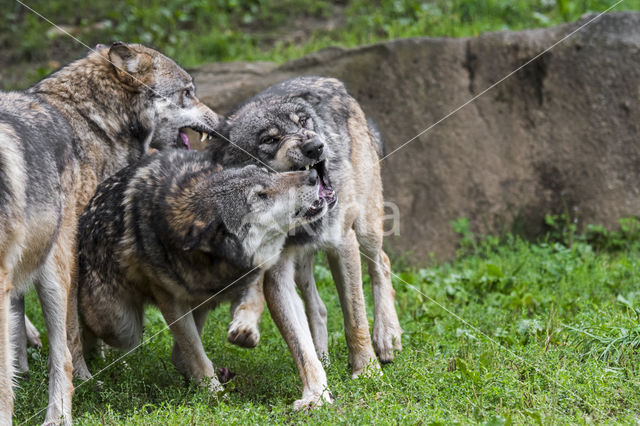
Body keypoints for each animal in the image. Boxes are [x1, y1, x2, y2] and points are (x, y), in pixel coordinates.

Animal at [0, 41, 220, 424]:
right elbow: (70, 331)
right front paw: (86, 376)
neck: (97, 123)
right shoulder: (70, 247)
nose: (220, 122)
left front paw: (24, 370)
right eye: (187, 92)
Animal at [72, 148, 328, 394]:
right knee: (95, 331)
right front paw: (213, 393)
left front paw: (245, 329)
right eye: (259, 196)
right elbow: (194, 352)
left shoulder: (253, 276)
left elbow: (253, 303)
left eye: (267, 173)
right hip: (123, 326)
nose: (313, 176)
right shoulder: (170, 300)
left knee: (177, 353)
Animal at [210, 75, 400, 410]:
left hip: (366, 229)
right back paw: (324, 357)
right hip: (302, 265)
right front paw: (315, 393)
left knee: (382, 264)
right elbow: (299, 344)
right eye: (270, 139)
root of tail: (335, 83)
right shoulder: (276, 275)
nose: (315, 146)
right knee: (318, 307)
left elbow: (355, 320)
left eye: (303, 122)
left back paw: (387, 336)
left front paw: (366, 372)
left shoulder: (343, 245)